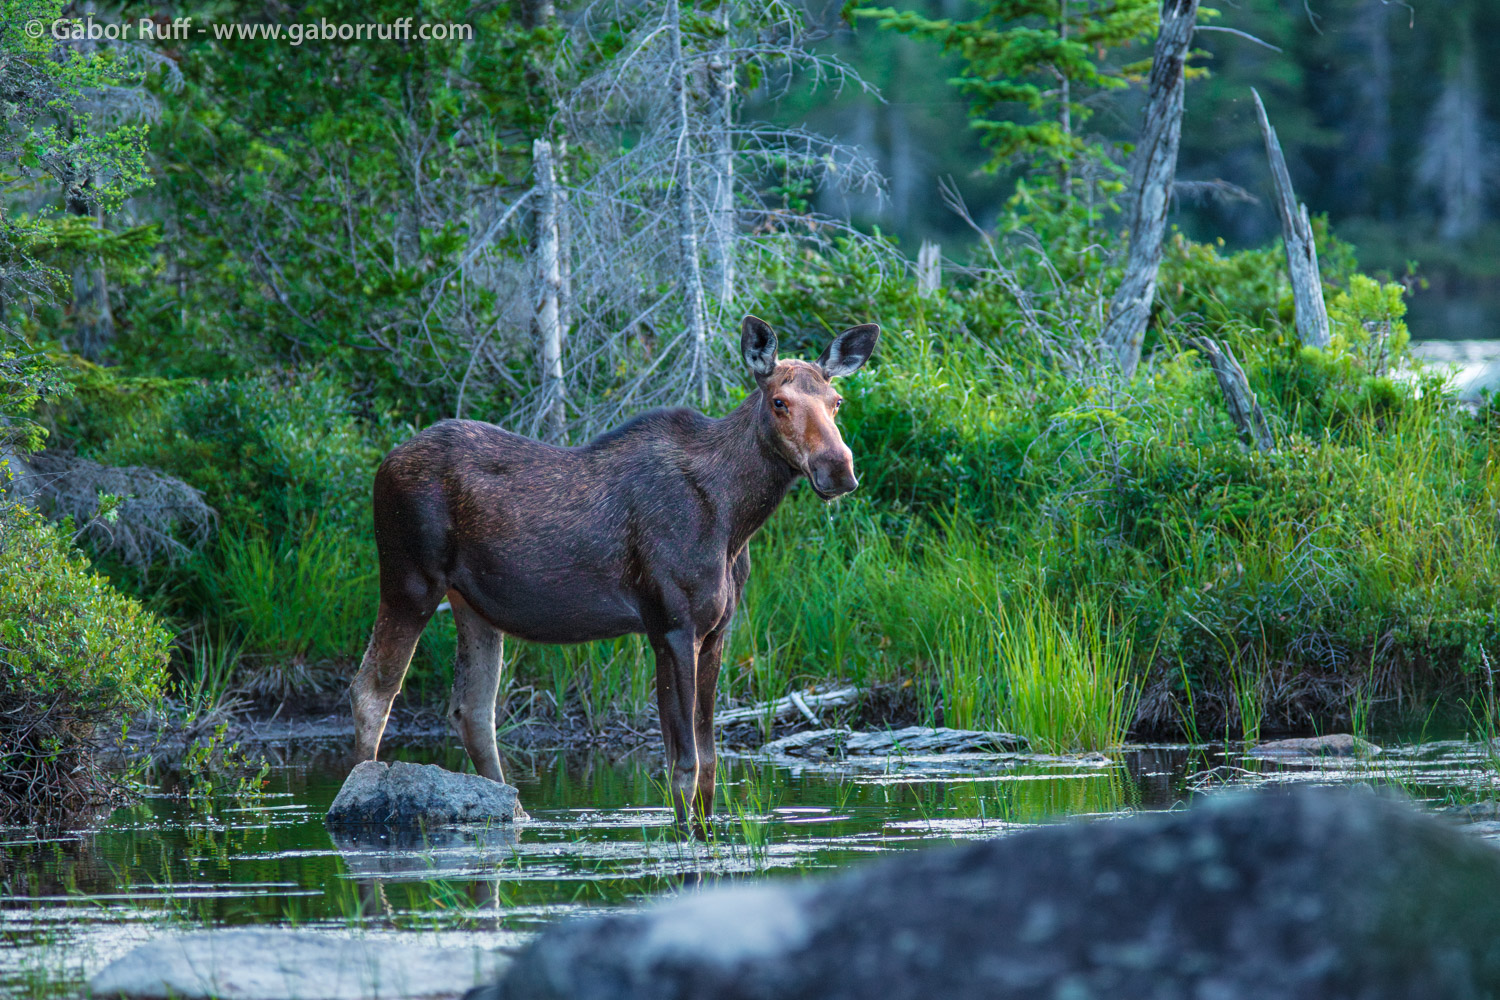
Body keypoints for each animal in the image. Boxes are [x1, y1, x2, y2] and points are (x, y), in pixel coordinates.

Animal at [348, 316, 876, 827]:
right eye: (780, 402)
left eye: (837, 401)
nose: (838, 468)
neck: (735, 518)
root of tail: (382, 465)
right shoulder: (671, 625)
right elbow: (684, 764)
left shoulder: (717, 631)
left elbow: (709, 763)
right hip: (409, 581)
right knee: (372, 691)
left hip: (472, 604)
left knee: (473, 710)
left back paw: (513, 813)